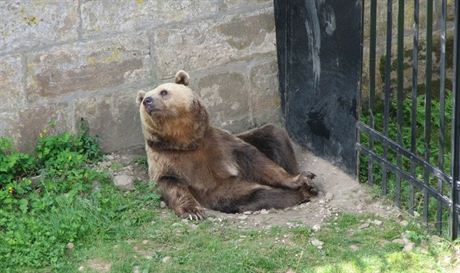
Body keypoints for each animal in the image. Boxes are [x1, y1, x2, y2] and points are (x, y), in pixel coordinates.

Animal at [136, 70, 316, 219]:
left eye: (163, 91)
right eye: (144, 99)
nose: (147, 101)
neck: (185, 141)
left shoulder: (219, 144)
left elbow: (257, 161)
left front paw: (300, 179)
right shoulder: (166, 159)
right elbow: (170, 184)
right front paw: (193, 212)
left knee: (273, 134)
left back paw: (306, 185)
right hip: (229, 192)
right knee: (260, 195)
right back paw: (301, 193)